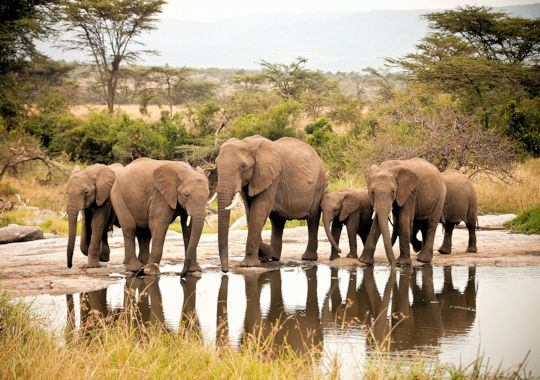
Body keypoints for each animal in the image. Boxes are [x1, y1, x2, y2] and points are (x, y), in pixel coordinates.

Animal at [214, 135, 324, 268]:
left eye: (243, 166)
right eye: (216, 164)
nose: (225, 270)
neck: (247, 143)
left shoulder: (271, 178)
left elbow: (258, 213)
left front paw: (249, 264)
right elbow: (250, 214)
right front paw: (263, 256)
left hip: (319, 184)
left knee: (313, 219)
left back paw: (307, 258)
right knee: (277, 221)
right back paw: (274, 257)